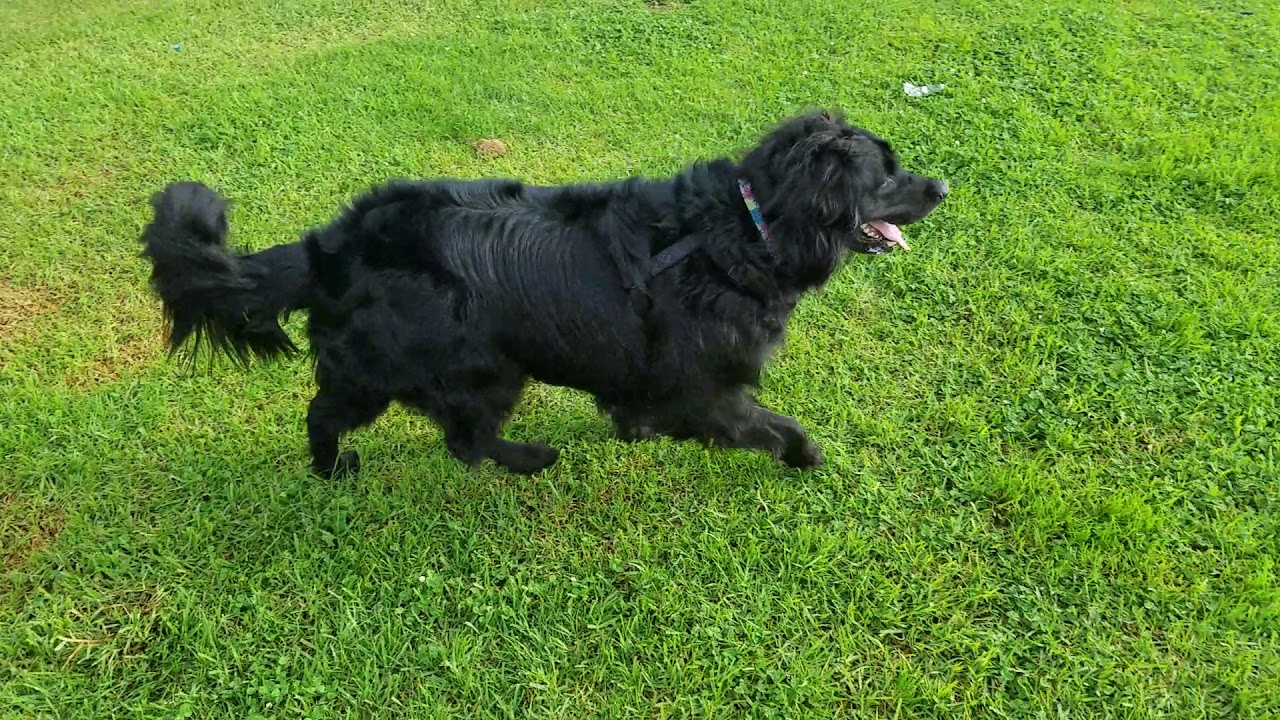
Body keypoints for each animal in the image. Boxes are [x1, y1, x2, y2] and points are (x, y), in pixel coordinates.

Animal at [140, 109, 947, 474]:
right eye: (887, 175)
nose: (941, 185)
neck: (745, 226)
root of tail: (332, 243)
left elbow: (639, 407)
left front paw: (635, 429)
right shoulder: (707, 386)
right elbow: (770, 424)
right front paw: (807, 456)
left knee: (458, 436)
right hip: (451, 363)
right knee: (400, 425)